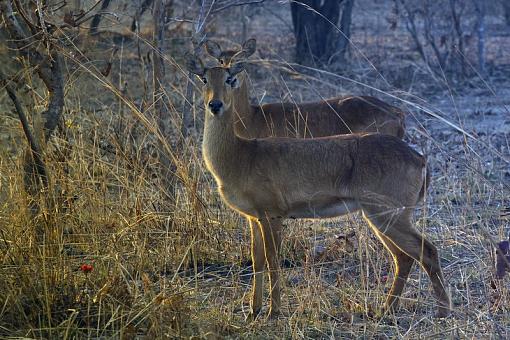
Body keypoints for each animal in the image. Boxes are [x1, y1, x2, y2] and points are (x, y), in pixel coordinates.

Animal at [186, 52, 450, 318]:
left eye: (230, 79)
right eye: (204, 79)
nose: (215, 105)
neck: (241, 155)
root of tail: (419, 158)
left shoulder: (272, 216)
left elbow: (273, 260)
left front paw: (273, 311)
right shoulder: (254, 217)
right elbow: (257, 259)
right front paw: (253, 310)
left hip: (388, 215)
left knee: (427, 251)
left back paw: (442, 311)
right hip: (380, 217)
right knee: (404, 258)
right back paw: (386, 309)